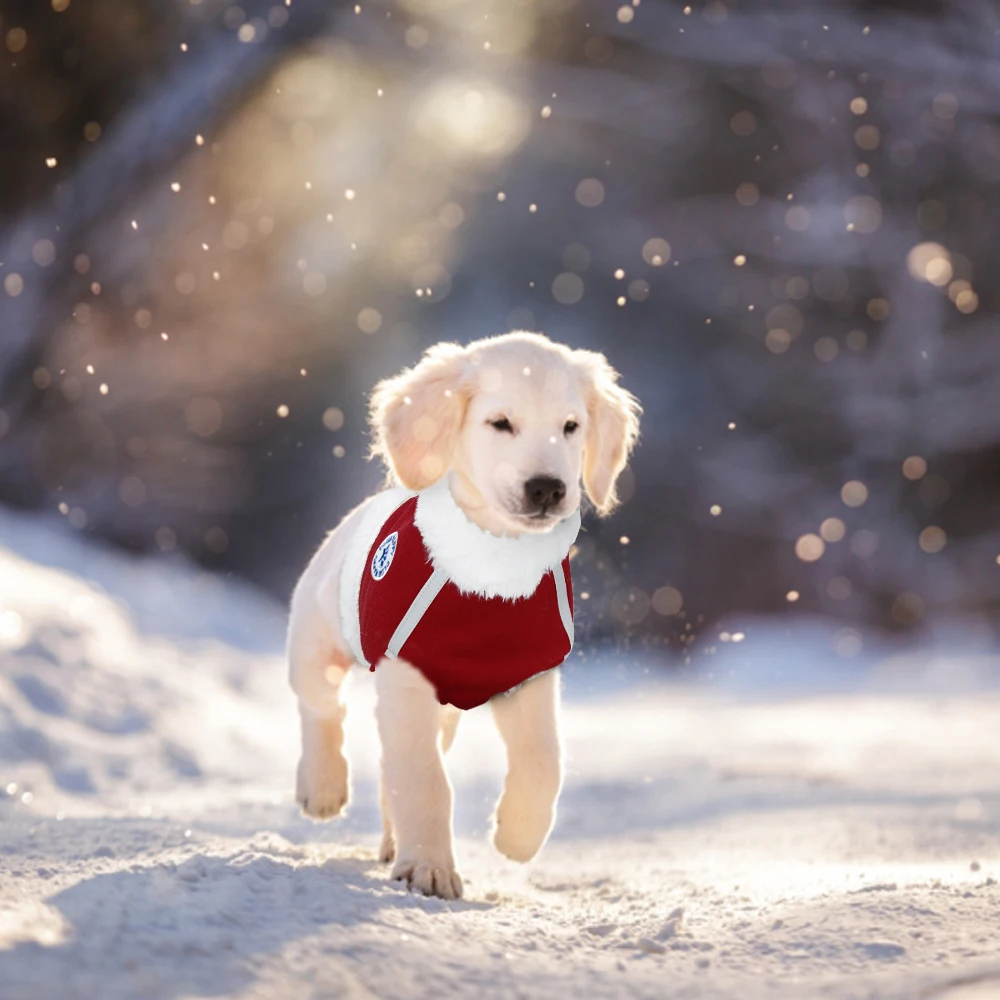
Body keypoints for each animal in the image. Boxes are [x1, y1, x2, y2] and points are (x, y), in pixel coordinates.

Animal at [288, 332, 640, 904]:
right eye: (500, 423)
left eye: (571, 426)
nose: (547, 488)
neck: (492, 578)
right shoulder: (407, 676)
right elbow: (426, 779)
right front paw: (430, 868)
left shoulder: (531, 675)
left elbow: (544, 761)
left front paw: (517, 836)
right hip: (316, 639)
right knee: (322, 707)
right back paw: (322, 787)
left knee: (386, 764)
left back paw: (392, 842)